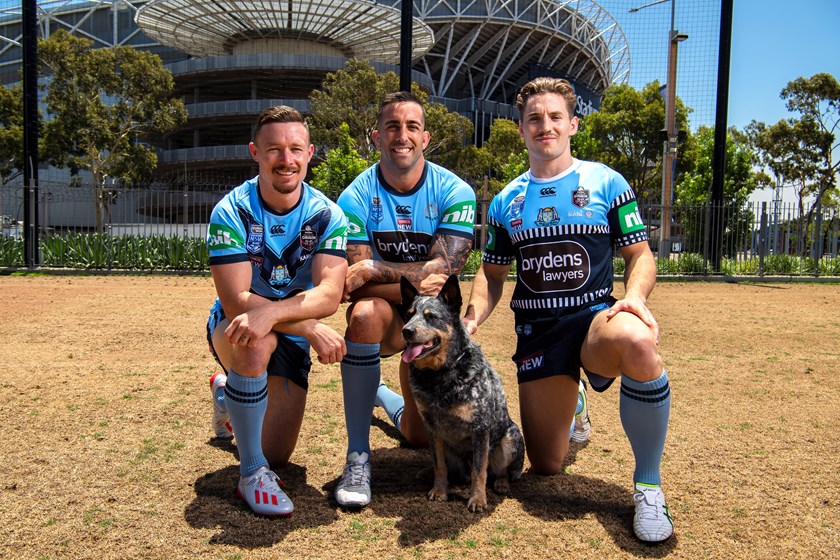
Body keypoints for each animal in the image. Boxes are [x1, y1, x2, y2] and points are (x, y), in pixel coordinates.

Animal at [400, 276, 524, 512]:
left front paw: (477, 499)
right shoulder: (432, 427)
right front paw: (439, 490)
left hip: (511, 437)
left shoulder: (480, 429)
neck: (439, 375)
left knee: (500, 471)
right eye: (409, 314)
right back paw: (428, 472)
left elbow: (479, 470)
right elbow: (439, 465)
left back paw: (502, 483)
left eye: (431, 316)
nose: (406, 330)